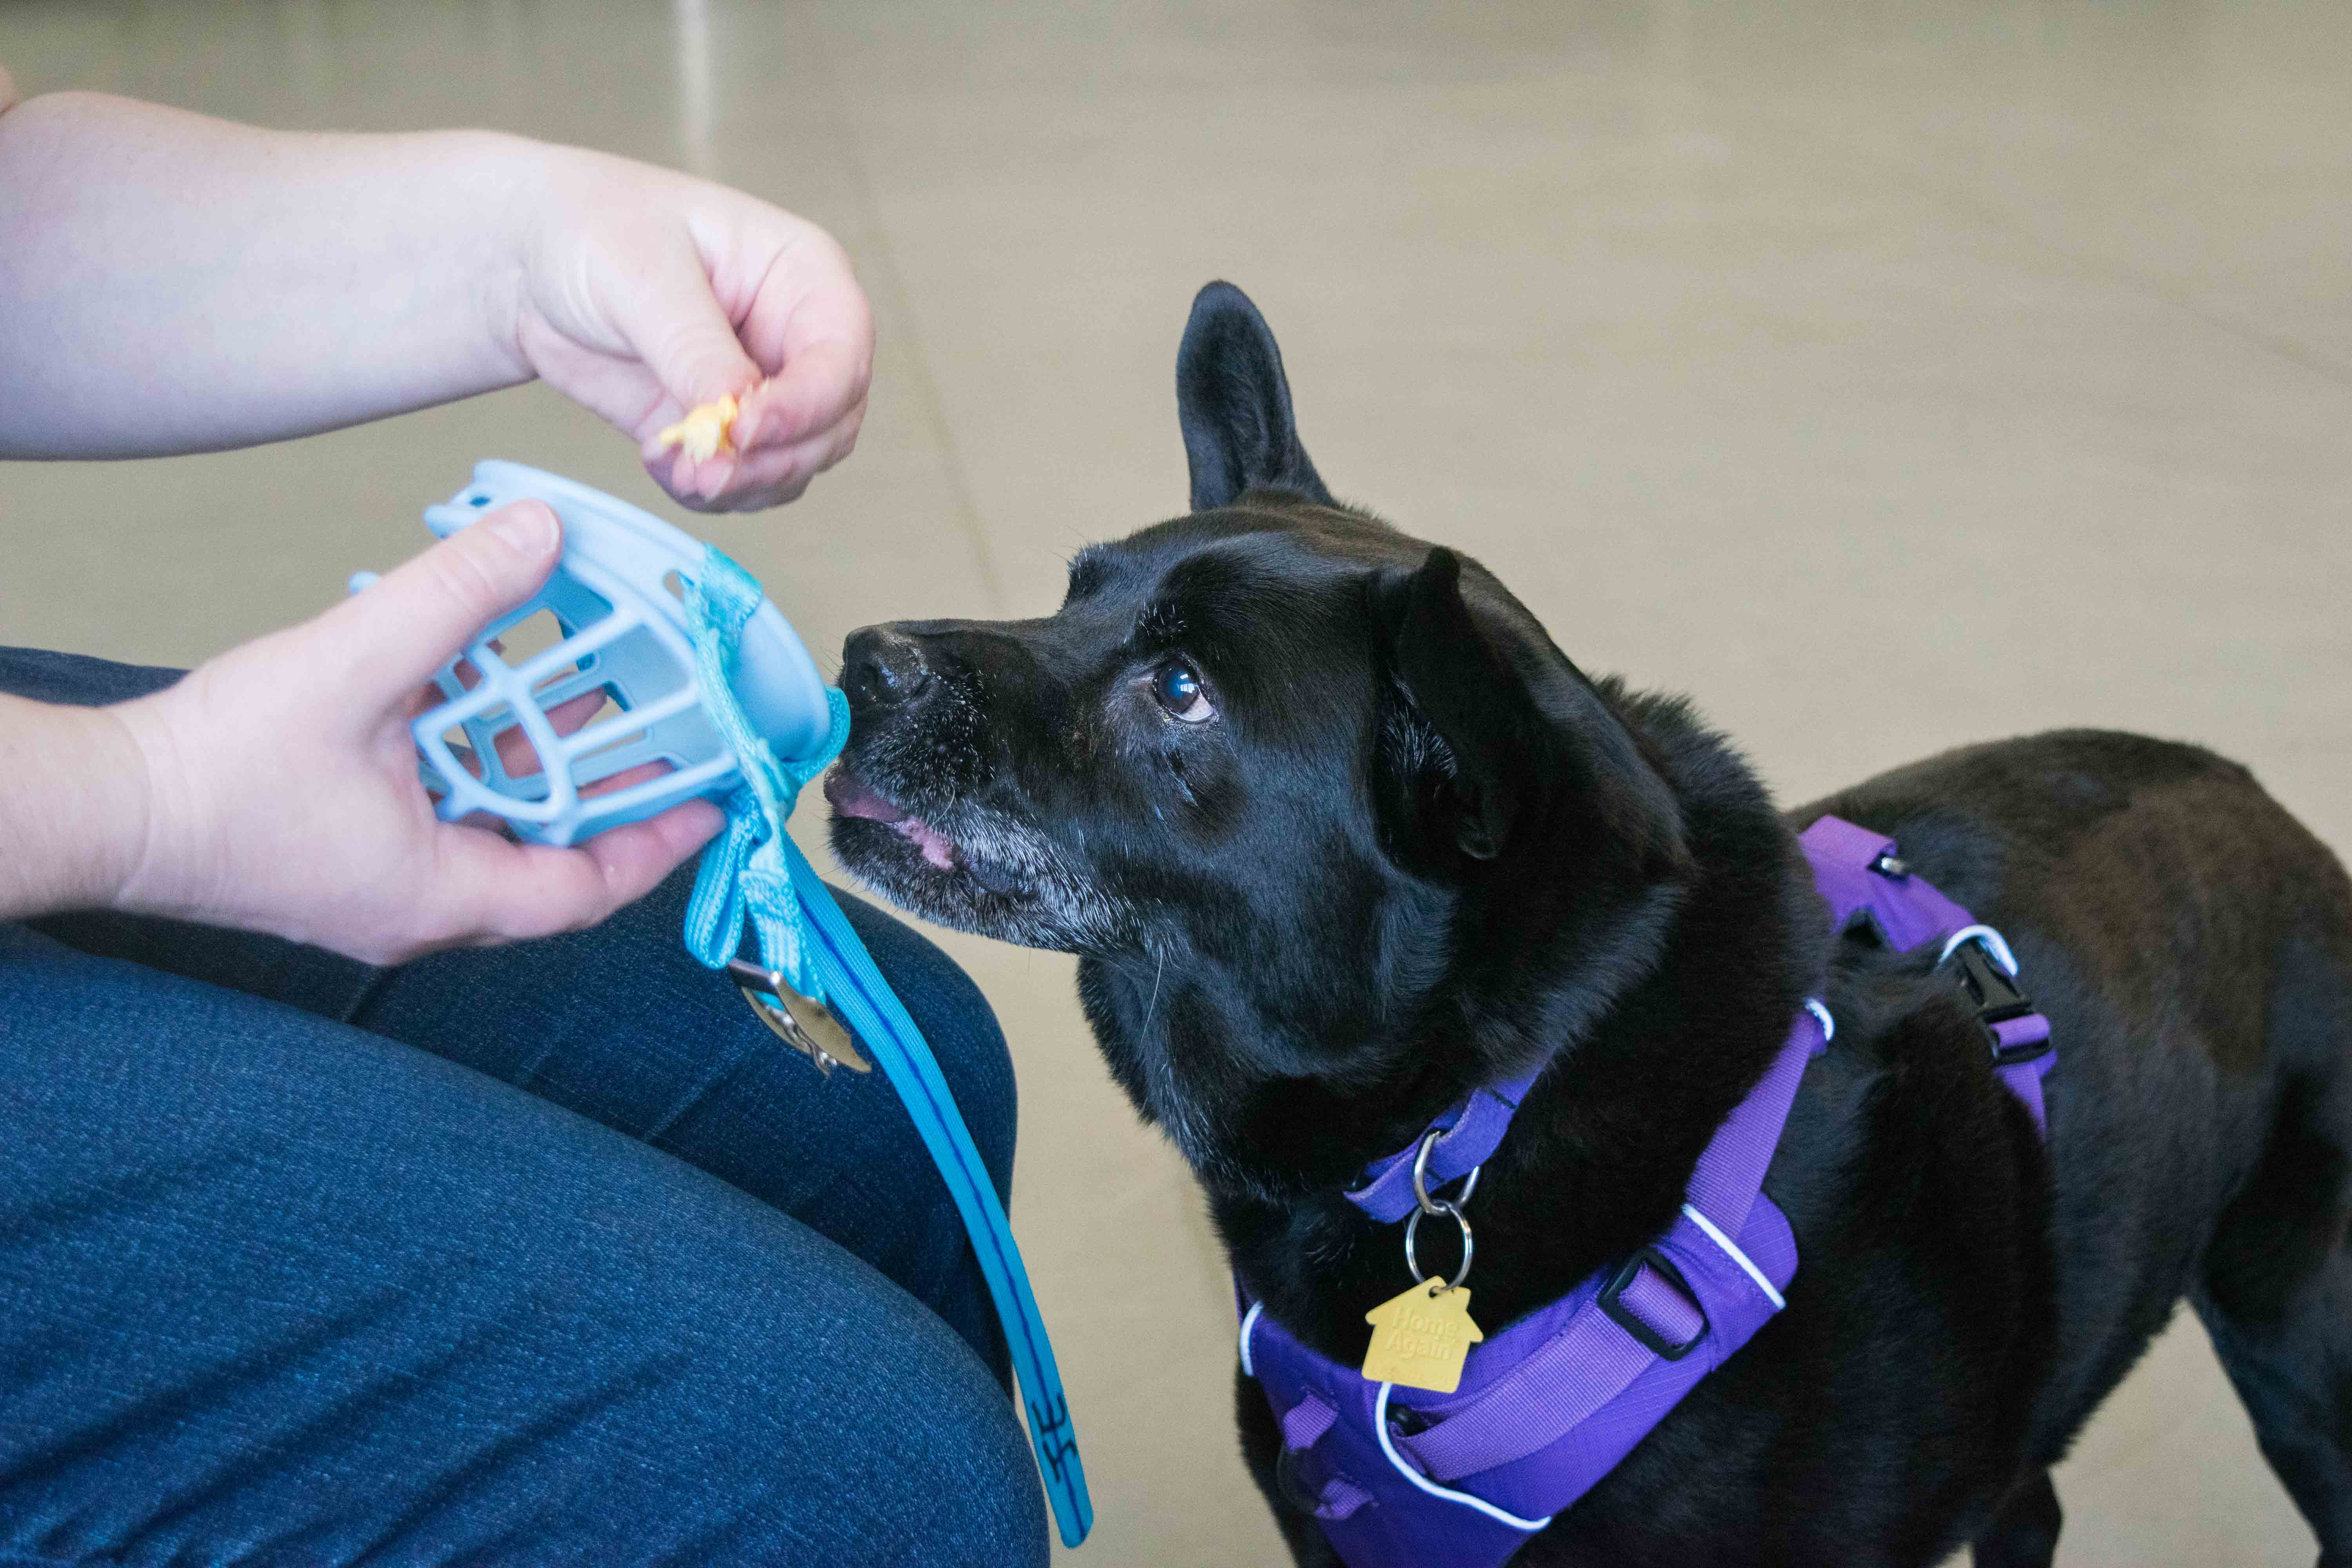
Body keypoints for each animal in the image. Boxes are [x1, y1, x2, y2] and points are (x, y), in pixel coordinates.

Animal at [823, 282, 2352, 1568]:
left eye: (1182, 689)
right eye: (1074, 595)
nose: (859, 662)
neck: (1473, 1112)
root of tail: (2262, 797)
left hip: (2304, 1366)